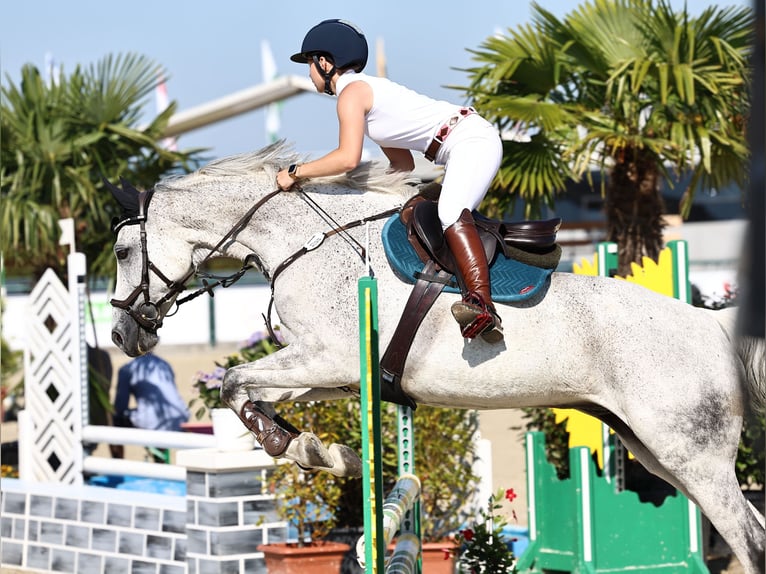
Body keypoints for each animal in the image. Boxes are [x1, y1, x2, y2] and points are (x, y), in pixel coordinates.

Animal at [108, 141, 765, 573]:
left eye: (120, 251)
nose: (120, 334)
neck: (304, 243)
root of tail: (711, 325)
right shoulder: (330, 371)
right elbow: (248, 389)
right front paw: (323, 452)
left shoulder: (326, 357)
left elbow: (233, 382)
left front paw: (305, 448)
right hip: (654, 449)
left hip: (692, 455)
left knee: (749, 539)